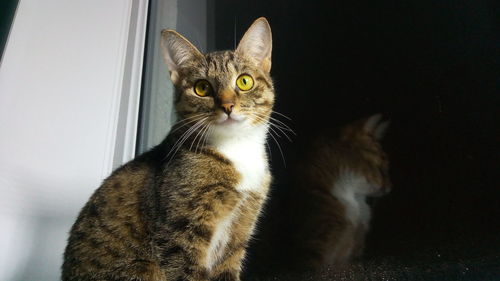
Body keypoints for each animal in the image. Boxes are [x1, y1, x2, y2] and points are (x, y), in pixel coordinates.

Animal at [62, 17, 276, 280]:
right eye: (202, 88)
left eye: (244, 81)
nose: (227, 106)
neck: (235, 149)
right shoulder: (180, 232)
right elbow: (186, 270)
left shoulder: (239, 231)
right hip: (143, 269)